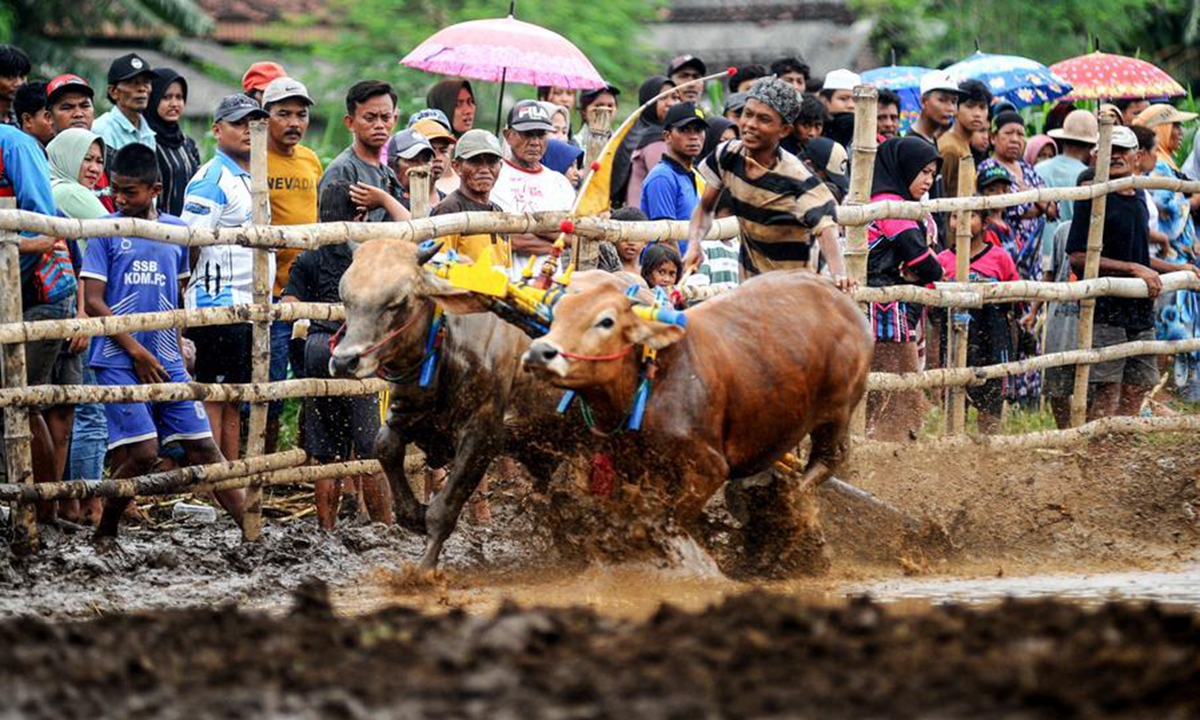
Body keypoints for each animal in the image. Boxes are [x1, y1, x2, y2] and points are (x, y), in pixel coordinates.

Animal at [329, 239, 592, 568]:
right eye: (346, 298)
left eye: (398, 302)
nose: (344, 361)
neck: (448, 340)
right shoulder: (406, 416)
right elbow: (384, 448)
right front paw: (415, 514)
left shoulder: (482, 436)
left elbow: (443, 510)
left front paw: (424, 567)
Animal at [521, 270, 873, 568]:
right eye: (558, 312)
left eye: (605, 321)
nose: (539, 352)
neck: (648, 376)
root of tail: (841, 298)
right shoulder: (628, 466)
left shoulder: (708, 469)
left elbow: (669, 521)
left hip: (837, 413)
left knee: (829, 459)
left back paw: (784, 508)